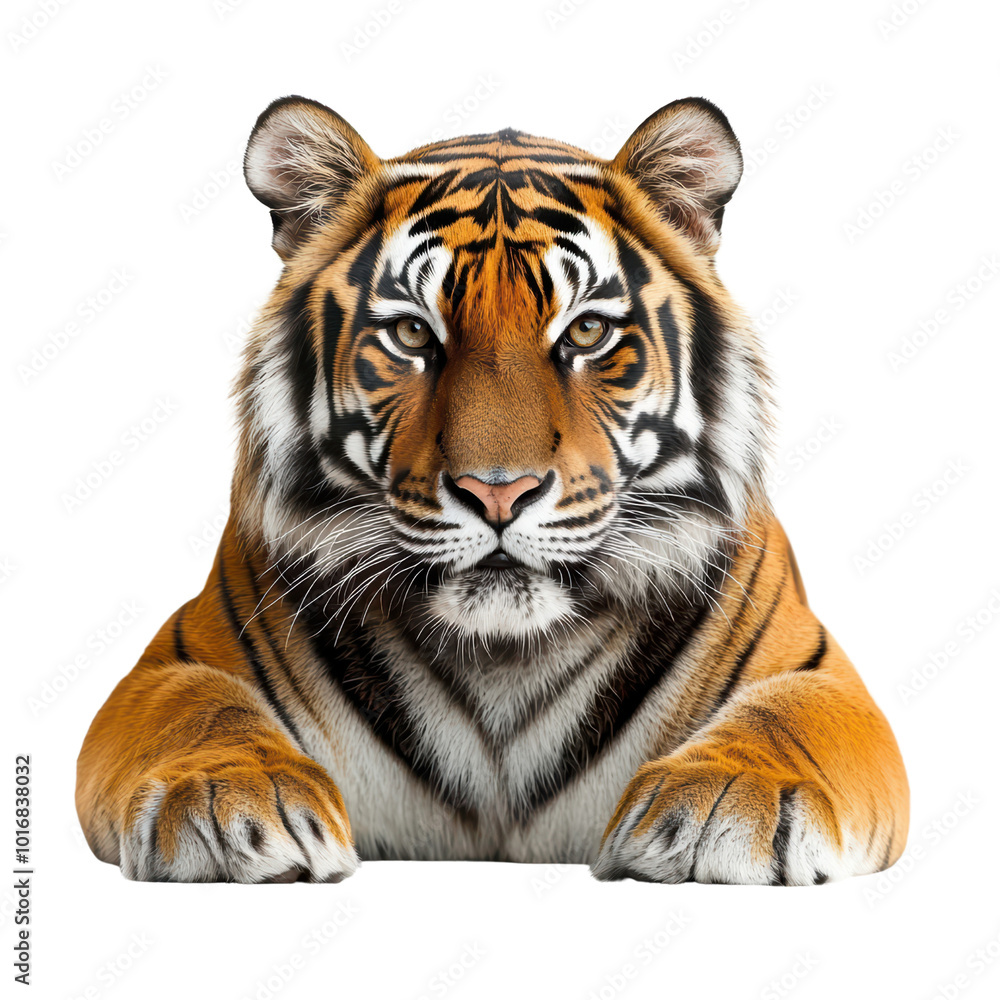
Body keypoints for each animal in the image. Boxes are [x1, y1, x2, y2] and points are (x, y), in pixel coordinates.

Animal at [76, 95, 908, 885]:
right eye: (413, 334)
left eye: (586, 333)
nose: (498, 494)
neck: (504, 660)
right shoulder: (168, 664)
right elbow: (199, 707)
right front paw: (226, 797)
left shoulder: (819, 673)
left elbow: (785, 718)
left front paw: (724, 803)